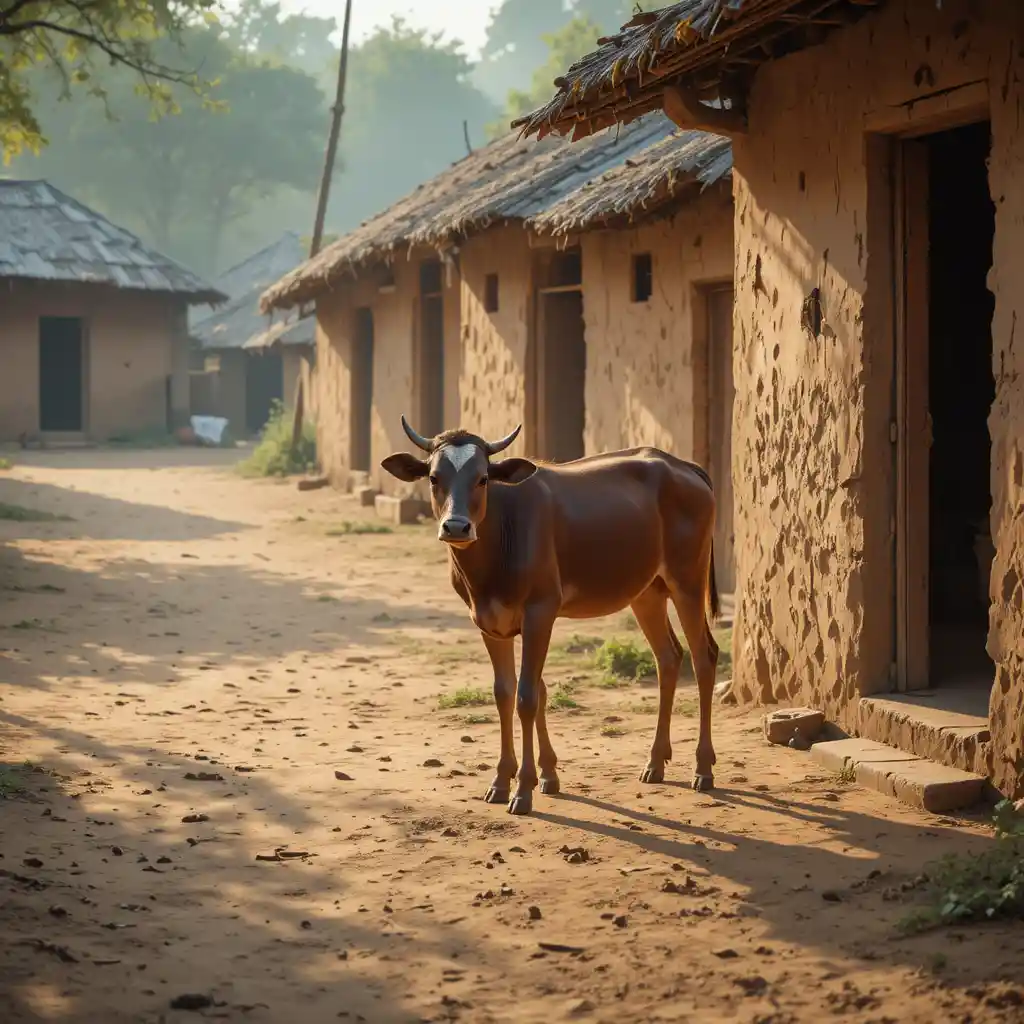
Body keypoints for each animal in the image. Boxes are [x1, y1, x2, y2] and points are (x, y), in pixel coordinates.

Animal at [382, 416, 719, 816]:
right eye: (434, 477)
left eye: (483, 478)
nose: (456, 526)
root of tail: (685, 467)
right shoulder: (488, 620)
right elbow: (506, 693)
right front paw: (515, 779)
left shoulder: (541, 610)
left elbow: (527, 696)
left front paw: (524, 788)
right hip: (647, 591)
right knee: (668, 657)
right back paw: (655, 762)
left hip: (688, 580)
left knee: (703, 657)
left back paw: (703, 768)